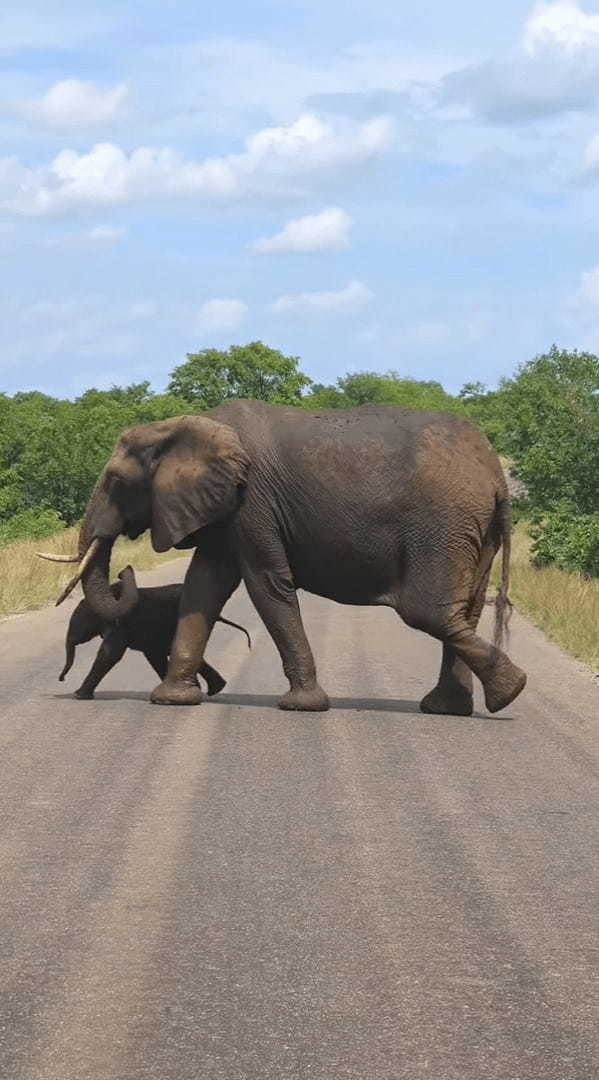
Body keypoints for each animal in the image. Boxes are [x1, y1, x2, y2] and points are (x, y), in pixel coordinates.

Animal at [59, 574, 250, 699]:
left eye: (80, 622)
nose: (61, 679)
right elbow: (153, 655)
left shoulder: (121, 624)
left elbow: (110, 653)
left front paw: (78, 696)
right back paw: (212, 689)